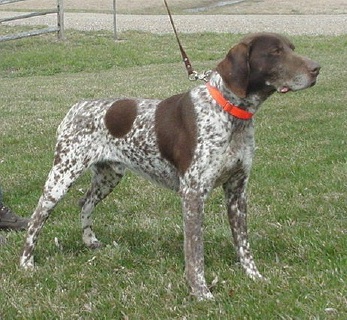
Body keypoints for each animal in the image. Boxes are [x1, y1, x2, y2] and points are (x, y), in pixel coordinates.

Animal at [20, 32, 320, 300]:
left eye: (292, 48)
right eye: (275, 52)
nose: (317, 68)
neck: (230, 113)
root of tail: (76, 107)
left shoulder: (237, 191)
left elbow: (243, 244)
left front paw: (254, 277)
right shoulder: (193, 194)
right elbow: (195, 253)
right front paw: (201, 293)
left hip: (109, 176)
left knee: (85, 203)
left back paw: (90, 242)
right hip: (62, 176)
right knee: (35, 220)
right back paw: (26, 264)